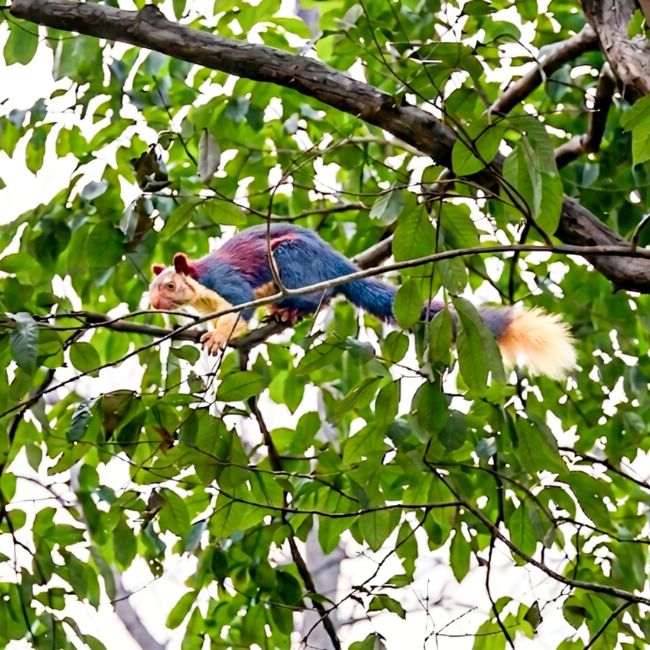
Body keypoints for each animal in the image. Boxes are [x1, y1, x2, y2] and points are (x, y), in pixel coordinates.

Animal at [149, 223, 576, 378]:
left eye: (169, 285)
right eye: (151, 288)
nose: (153, 304)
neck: (200, 288)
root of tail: (336, 262)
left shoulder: (227, 283)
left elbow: (240, 310)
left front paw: (217, 338)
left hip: (289, 258)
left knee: (318, 297)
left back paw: (289, 309)